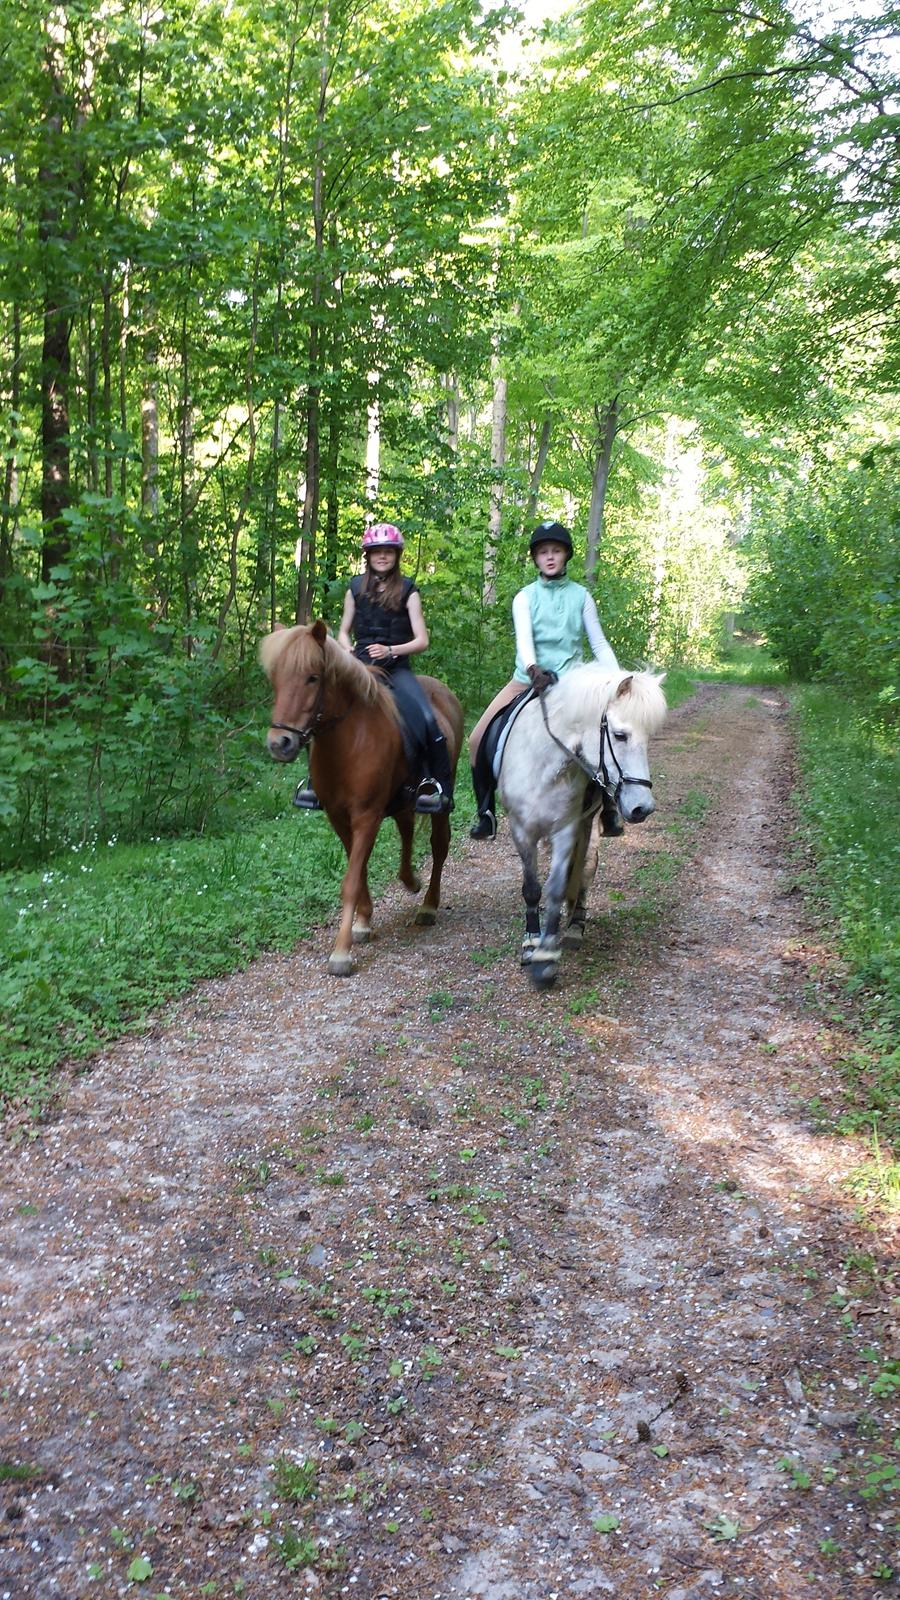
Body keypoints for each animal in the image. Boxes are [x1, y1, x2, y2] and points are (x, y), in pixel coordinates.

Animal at [257, 620, 454, 972]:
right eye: (276, 677)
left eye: (312, 677)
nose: (280, 743)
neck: (349, 740)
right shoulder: (338, 816)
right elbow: (358, 870)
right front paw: (363, 923)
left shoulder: (365, 815)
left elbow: (350, 880)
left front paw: (341, 952)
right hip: (401, 799)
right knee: (406, 829)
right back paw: (409, 880)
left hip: (438, 804)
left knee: (438, 846)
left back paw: (429, 905)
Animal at [493, 665, 662, 985]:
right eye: (620, 736)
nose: (642, 808)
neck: (544, 766)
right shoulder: (521, 831)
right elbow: (532, 888)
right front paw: (531, 942)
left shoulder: (566, 829)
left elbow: (557, 888)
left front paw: (546, 957)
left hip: (587, 826)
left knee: (584, 870)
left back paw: (574, 924)